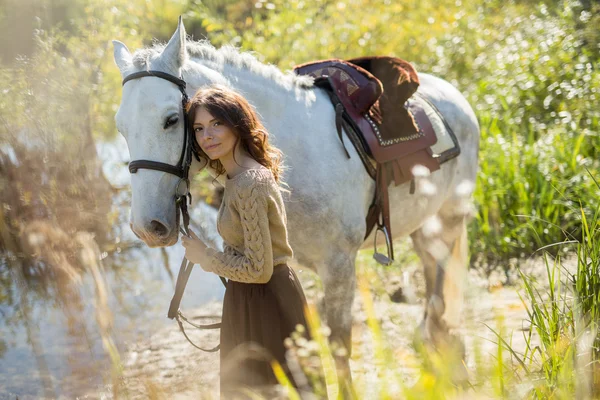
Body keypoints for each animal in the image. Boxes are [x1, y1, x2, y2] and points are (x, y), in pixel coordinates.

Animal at [111, 20, 478, 382]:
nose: (147, 228)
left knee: (440, 266)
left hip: (449, 216)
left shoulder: (339, 267)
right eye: (121, 128)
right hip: (423, 220)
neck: (295, 160)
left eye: (172, 119)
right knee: (429, 261)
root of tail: (454, 95)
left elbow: (339, 347)